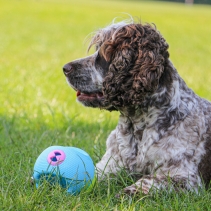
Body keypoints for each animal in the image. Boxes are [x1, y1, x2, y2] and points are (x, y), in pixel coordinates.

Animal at [62, 19, 211, 195]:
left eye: (105, 54)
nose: (65, 68)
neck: (137, 127)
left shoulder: (185, 178)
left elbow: (148, 182)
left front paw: (126, 193)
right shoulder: (110, 165)